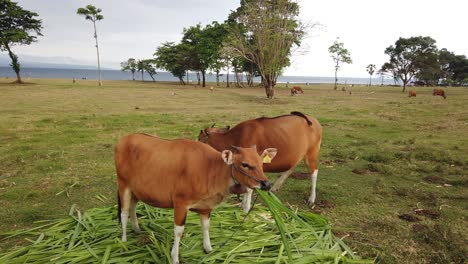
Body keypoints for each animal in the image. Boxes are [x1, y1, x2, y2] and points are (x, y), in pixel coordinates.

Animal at [116, 134, 278, 264]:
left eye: (261, 163)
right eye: (245, 164)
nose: (267, 184)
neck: (209, 168)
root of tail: (124, 139)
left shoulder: (205, 207)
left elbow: (206, 226)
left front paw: (208, 248)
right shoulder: (180, 203)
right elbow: (178, 231)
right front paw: (174, 257)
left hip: (136, 190)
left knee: (132, 207)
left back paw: (136, 229)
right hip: (123, 185)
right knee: (124, 212)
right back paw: (123, 241)